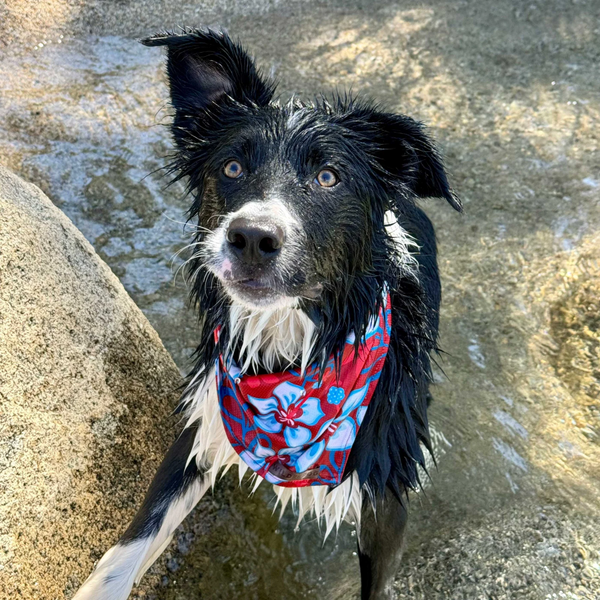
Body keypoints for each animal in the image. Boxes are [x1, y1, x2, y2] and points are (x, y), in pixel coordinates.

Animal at [74, 29, 460, 600]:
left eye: (328, 176)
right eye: (232, 167)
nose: (252, 237)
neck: (290, 351)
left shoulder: (384, 502)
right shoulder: (205, 422)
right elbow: (126, 552)